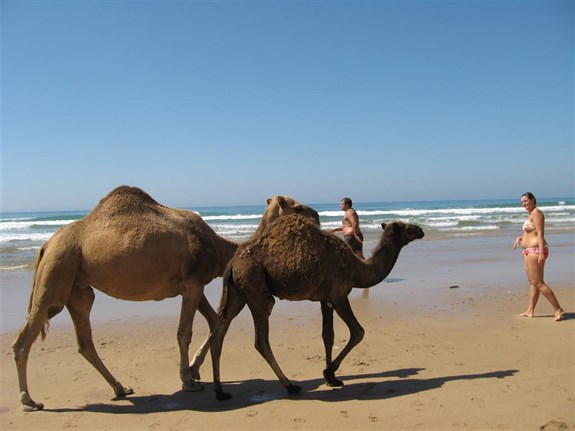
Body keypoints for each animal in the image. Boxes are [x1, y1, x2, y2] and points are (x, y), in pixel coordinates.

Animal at [12, 186, 320, 412]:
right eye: (296, 205)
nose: (317, 214)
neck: (218, 247)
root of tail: (46, 244)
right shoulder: (192, 283)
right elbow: (186, 331)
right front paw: (188, 380)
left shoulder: (195, 286)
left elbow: (213, 322)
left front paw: (195, 371)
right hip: (58, 269)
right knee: (27, 335)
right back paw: (29, 401)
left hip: (78, 286)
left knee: (84, 340)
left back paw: (120, 388)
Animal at [206, 216, 424, 402]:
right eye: (406, 228)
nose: (421, 230)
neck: (357, 269)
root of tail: (232, 264)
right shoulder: (339, 295)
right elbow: (357, 331)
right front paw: (328, 373)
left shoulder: (325, 300)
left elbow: (328, 336)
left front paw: (332, 378)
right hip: (256, 290)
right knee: (261, 341)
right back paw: (290, 386)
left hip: (237, 295)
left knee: (218, 335)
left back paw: (220, 391)